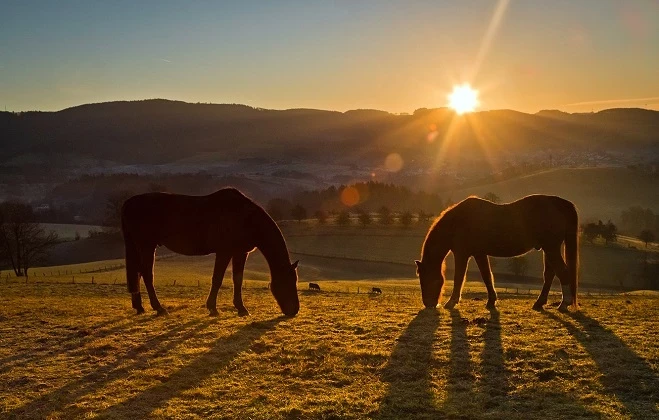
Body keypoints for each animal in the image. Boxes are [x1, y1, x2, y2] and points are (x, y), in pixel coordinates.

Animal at [120, 187, 300, 316]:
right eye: (289, 282)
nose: (294, 311)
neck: (245, 218)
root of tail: (129, 203)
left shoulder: (240, 253)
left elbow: (238, 280)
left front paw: (241, 308)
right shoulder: (224, 252)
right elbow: (217, 279)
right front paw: (212, 308)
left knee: (137, 273)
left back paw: (139, 307)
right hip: (147, 246)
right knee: (146, 274)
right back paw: (159, 308)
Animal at [416, 195, 580, 310]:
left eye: (425, 278)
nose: (428, 304)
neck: (457, 222)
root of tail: (557, 203)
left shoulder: (462, 254)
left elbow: (459, 278)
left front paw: (451, 302)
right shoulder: (479, 253)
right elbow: (487, 276)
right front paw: (491, 301)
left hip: (551, 248)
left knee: (563, 272)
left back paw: (564, 304)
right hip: (548, 249)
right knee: (550, 274)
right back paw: (539, 303)